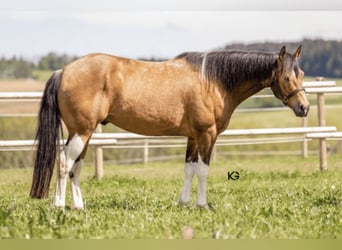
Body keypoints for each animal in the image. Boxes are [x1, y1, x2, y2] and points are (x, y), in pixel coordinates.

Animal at [29, 45, 308, 209]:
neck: (213, 81)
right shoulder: (207, 135)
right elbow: (203, 171)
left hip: (83, 134)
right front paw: (202, 205)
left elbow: (189, 169)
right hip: (82, 131)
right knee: (64, 163)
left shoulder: (193, 137)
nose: (304, 108)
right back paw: (58, 206)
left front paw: (183, 203)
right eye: (286, 77)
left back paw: (78, 206)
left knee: (75, 167)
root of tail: (64, 71)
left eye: (302, 74)